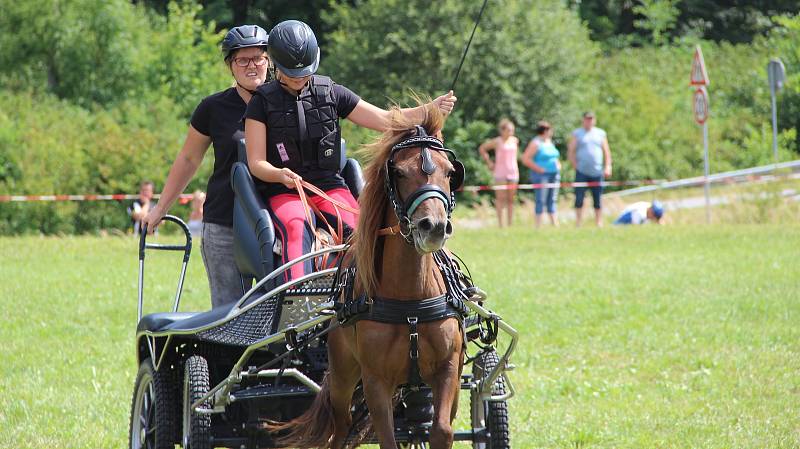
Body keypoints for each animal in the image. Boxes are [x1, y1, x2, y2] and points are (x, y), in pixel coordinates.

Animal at [274, 103, 462, 446]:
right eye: (399, 172)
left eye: (449, 172)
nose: (433, 227)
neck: (411, 301)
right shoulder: (375, 379)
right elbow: (386, 437)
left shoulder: (448, 368)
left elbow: (441, 429)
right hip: (342, 374)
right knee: (341, 426)